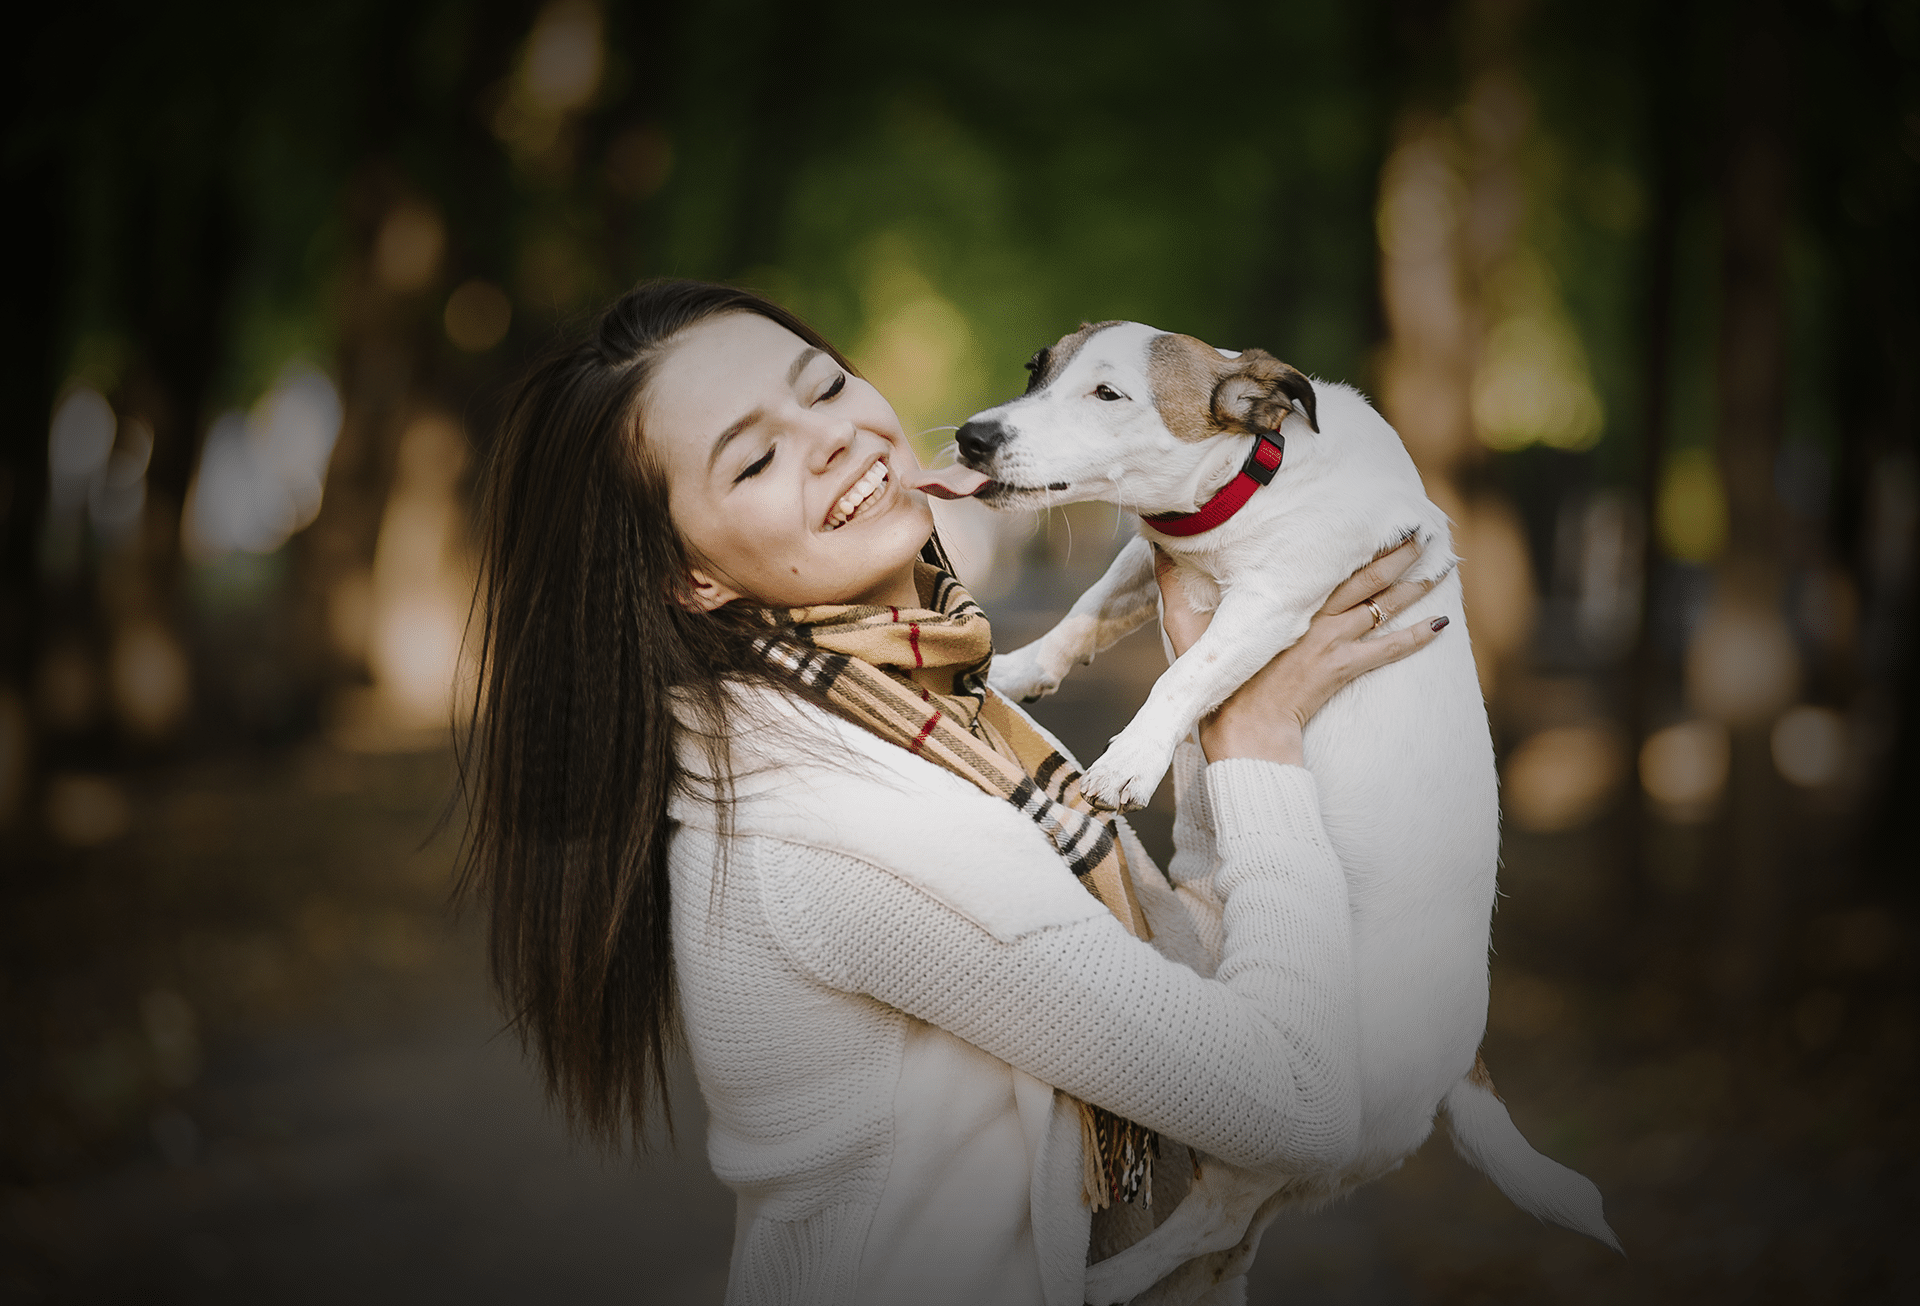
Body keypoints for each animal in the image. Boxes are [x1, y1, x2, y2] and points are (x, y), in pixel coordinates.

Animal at [929, 318, 1620, 1306]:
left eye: (1108, 394)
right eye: (1036, 371)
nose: (975, 436)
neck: (1256, 477)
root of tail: (1466, 1065)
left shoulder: (1271, 604)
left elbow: (1186, 673)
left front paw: (1131, 759)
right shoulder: (1152, 560)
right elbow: (1092, 607)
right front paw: (1025, 669)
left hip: (1292, 1114)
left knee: (1220, 1214)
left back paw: (1109, 1277)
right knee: (1232, 1229)